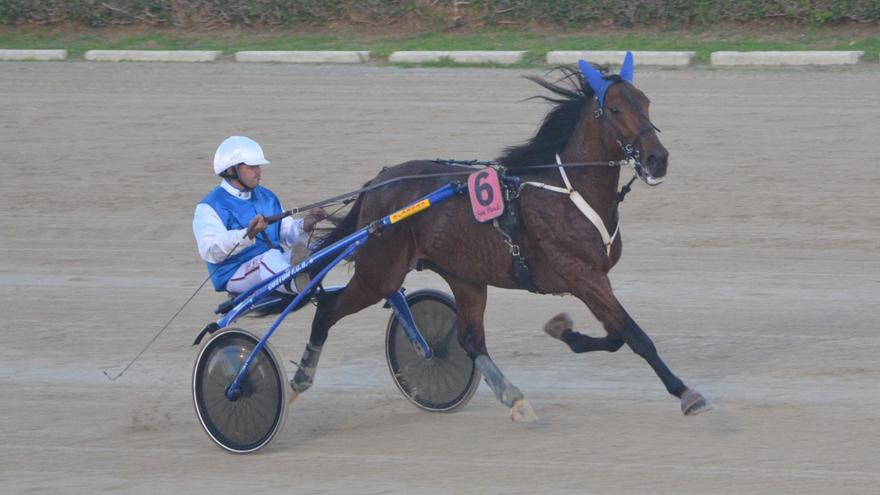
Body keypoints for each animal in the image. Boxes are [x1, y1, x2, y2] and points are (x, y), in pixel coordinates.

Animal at [288, 52, 708, 420]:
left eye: (646, 104)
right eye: (617, 110)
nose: (657, 159)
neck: (570, 192)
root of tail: (377, 183)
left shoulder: (594, 279)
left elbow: (616, 335)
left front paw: (564, 331)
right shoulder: (582, 275)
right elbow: (634, 335)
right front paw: (686, 392)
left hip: (465, 276)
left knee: (470, 339)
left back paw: (513, 397)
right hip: (381, 273)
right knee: (327, 310)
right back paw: (298, 379)